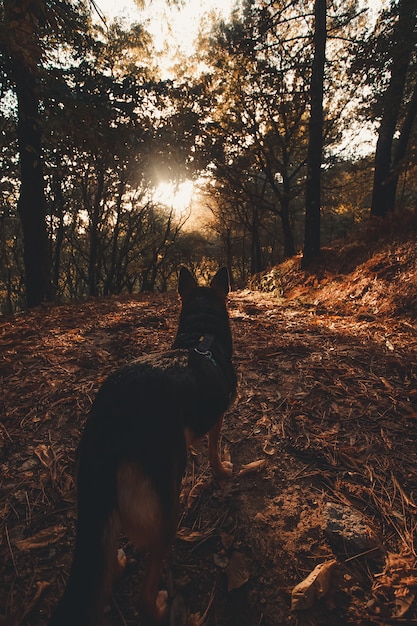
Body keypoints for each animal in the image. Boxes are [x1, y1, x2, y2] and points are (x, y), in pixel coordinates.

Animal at [49, 266, 234, 624]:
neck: (201, 340)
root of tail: (110, 416)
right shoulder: (216, 418)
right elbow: (213, 449)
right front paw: (221, 471)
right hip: (164, 511)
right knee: (143, 595)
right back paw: (161, 607)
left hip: (97, 497)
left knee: (103, 558)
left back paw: (118, 565)